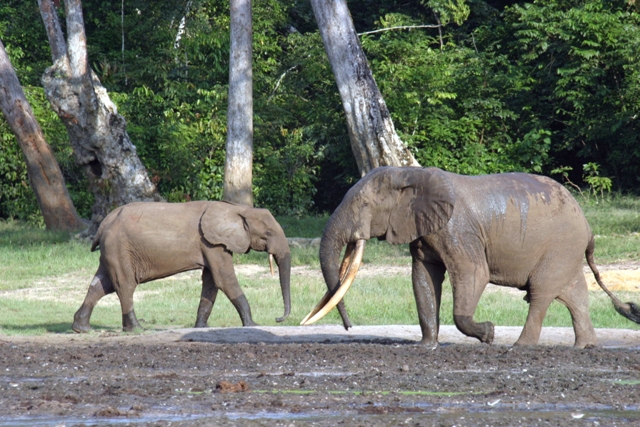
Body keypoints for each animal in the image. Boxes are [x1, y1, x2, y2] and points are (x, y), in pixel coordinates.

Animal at [72, 201, 290, 334]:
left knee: (101, 285)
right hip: (119, 247)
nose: (278, 319)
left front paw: (201, 328)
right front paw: (253, 325)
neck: (239, 209)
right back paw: (137, 329)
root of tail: (104, 223)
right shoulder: (212, 243)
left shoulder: (210, 244)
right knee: (124, 285)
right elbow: (224, 279)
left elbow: (211, 283)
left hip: (112, 250)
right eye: (268, 233)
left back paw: (81, 328)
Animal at [302, 166, 640, 350]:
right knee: (573, 294)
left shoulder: (458, 230)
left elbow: (473, 273)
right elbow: (423, 278)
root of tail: (589, 228)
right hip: (566, 250)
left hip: (559, 246)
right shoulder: (425, 229)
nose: (348, 327)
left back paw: (519, 346)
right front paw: (427, 346)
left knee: (541, 293)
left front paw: (488, 334)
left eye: (363, 206)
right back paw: (585, 345)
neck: (412, 174)